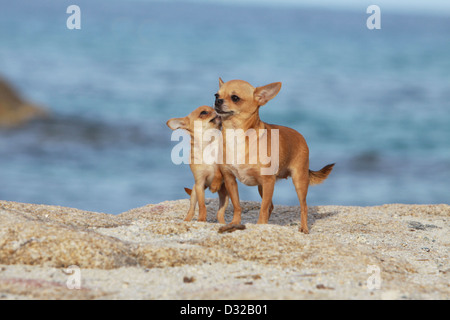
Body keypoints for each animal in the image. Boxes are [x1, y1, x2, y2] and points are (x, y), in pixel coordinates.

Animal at [214, 77, 334, 232]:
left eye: (235, 98)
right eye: (216, 95)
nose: (217, 101)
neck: (235, 134)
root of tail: (300, 135)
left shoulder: (268, 181)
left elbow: (262, 209)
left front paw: (259, 226)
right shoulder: (230, 180)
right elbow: (237, 206)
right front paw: (235, 223)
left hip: (298, 181)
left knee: (303, 206)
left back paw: (304, 228)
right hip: (262, 187)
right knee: (270, 206)